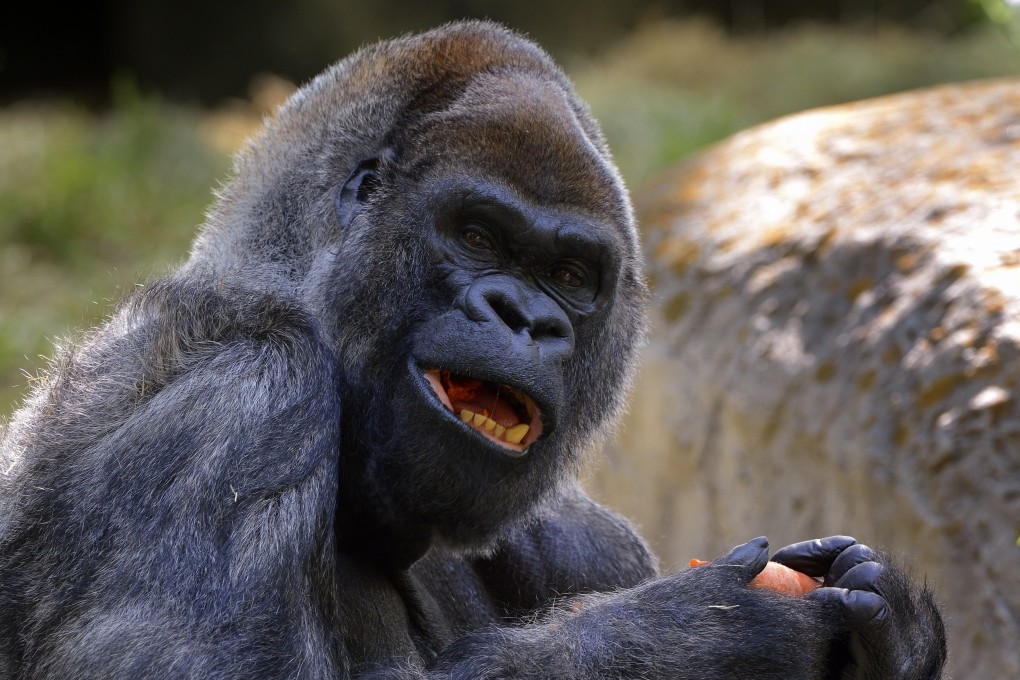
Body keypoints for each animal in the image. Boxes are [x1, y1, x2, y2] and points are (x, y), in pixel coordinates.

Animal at [0, 21, 946, 679]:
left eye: (570, 274)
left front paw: (893, 640)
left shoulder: (585, 538)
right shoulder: (233, 398)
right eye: (477, 236)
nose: (525, 317)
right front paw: (687, 640)